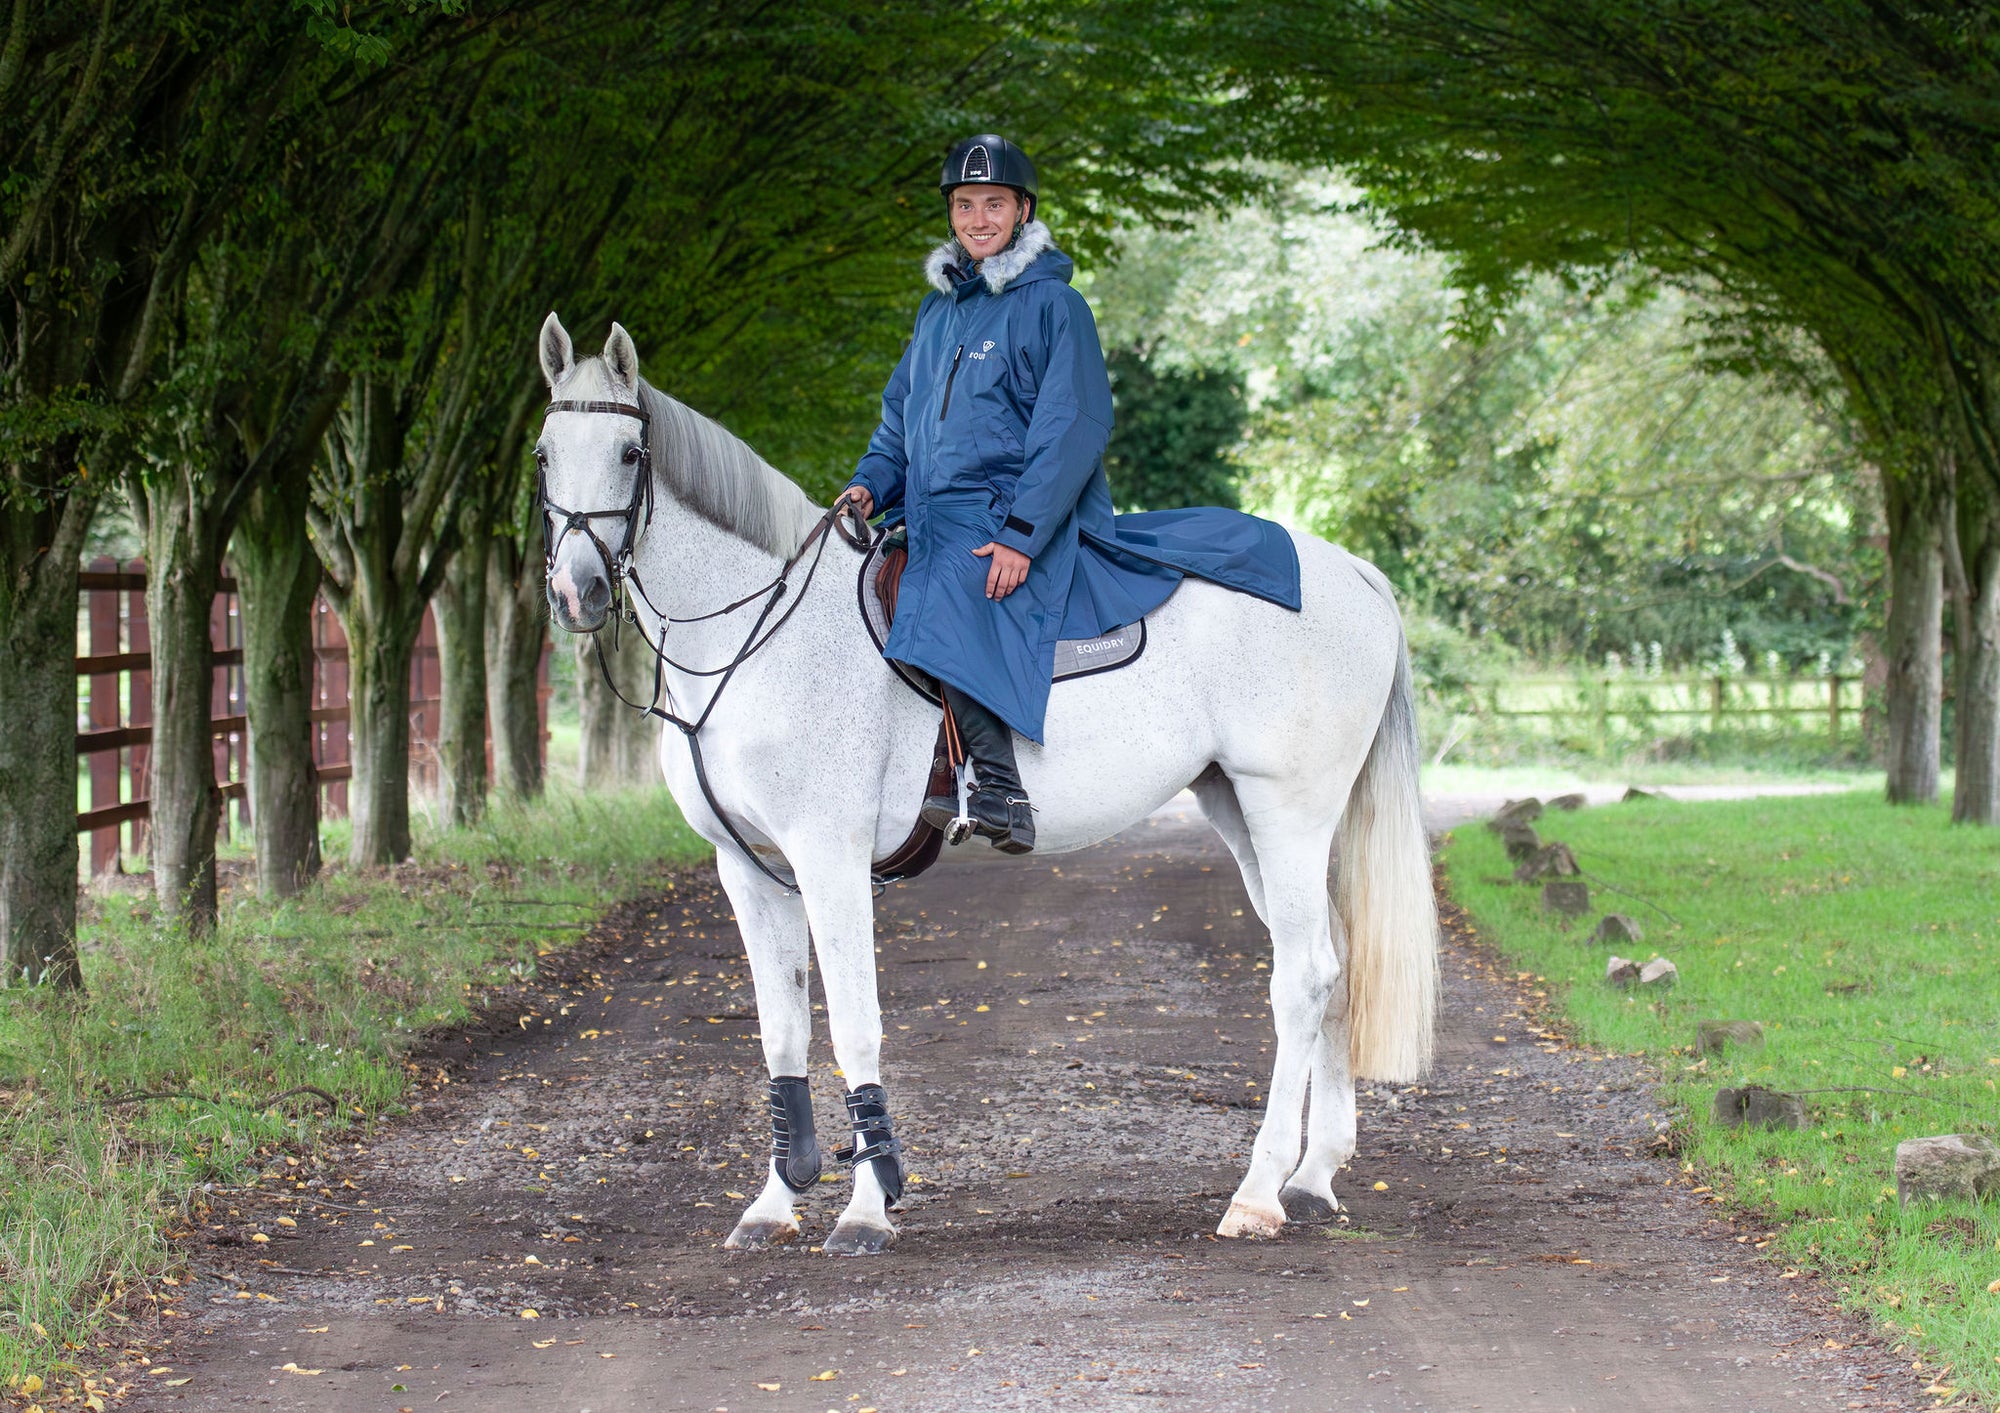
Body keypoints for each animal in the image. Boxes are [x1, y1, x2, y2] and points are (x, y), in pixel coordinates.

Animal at [532, 316, 1440, 1256]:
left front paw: (867, 1206)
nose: (576, 591)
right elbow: (782, 1029)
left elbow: (855, 1022)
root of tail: (1354, 574)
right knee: (1333, 965)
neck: (757, 635)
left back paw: (1258, 1192)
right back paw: (1313, 1176)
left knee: (1302, 977)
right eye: (543, 456)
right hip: (1244, 813)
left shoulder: (829, 858)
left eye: (630, 452)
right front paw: (774, 1201)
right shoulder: (748, 869)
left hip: (1287, 810)